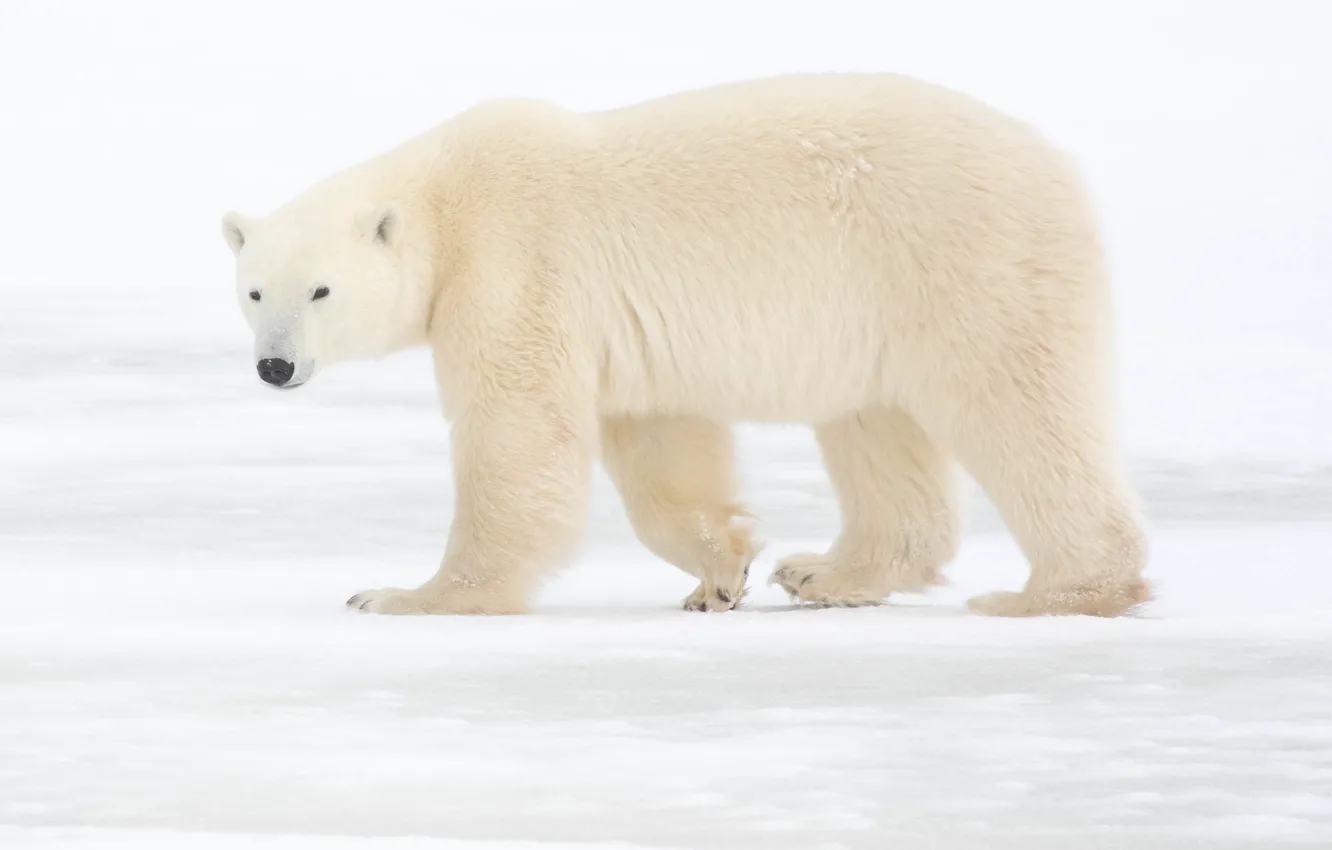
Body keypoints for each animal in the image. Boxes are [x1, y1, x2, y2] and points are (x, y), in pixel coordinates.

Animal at [223, 71, 1150, 618]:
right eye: (254, 291)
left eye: (321, 291)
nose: (275, 365)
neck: (447, 198)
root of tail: (1054, 163)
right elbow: (659, 439)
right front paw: (722, 573)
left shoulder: (513, 263)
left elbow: (517, 434)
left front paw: (404, 596)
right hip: (880, 306)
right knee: (877, 428)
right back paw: (825, 574)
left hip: (963, 261)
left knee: (1021, 411)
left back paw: (1057, 592)